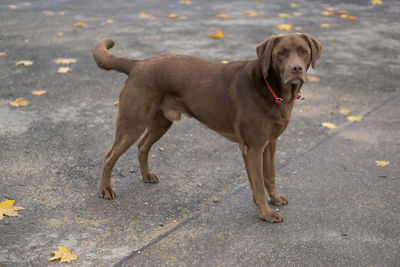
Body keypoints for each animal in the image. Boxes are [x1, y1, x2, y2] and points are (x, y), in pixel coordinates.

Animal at [93, 32, 322, 223]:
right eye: (281, 53)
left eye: (304, 51)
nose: (296, 69)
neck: (273, 90)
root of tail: (138, 64)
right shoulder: (253, 147)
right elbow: (257, 185)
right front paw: (266, 214)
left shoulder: (270, 143)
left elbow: (270, 175)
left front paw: (274, 198)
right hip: (133, 122)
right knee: (109, 155)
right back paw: (105, 190)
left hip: (161, 122)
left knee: (142, 146)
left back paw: (146, 175)